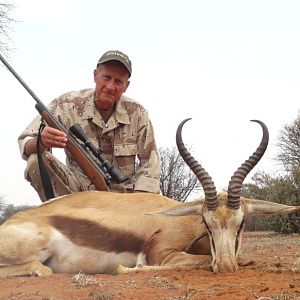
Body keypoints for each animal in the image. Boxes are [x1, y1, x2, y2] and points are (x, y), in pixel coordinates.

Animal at [0, 118, 300, 278]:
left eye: (241, 223)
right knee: (41, 268)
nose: (226, 267)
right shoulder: (163, 255)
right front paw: (125, 269)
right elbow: (196, 261)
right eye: (207, 222)